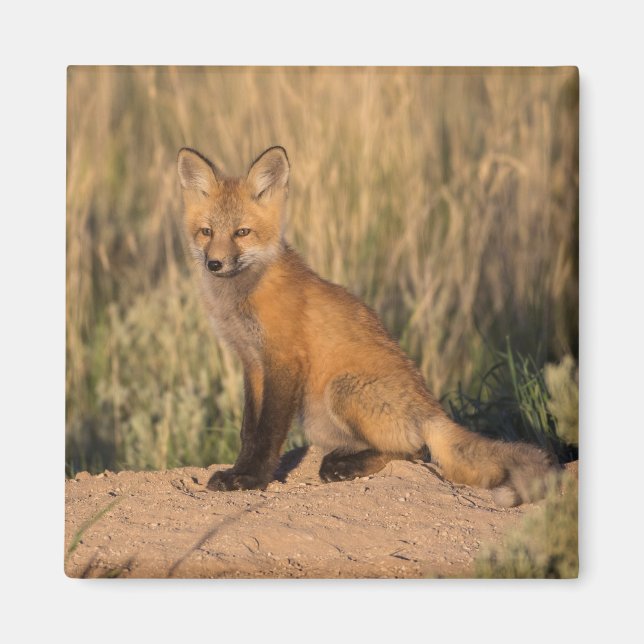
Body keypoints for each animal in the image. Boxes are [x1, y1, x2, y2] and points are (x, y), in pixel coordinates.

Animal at [177, 145, 558, 507]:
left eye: (242, 233)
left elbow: (267, 433)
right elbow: (248, 431)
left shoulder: (283, 360)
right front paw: (239, 470)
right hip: (317, 417)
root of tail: (433, 410)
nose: (214, 264)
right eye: (207, 232)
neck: (242, 297)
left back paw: (344, 467)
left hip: (342, 389)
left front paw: (250, 479)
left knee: (416, 451)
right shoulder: (253, 363)